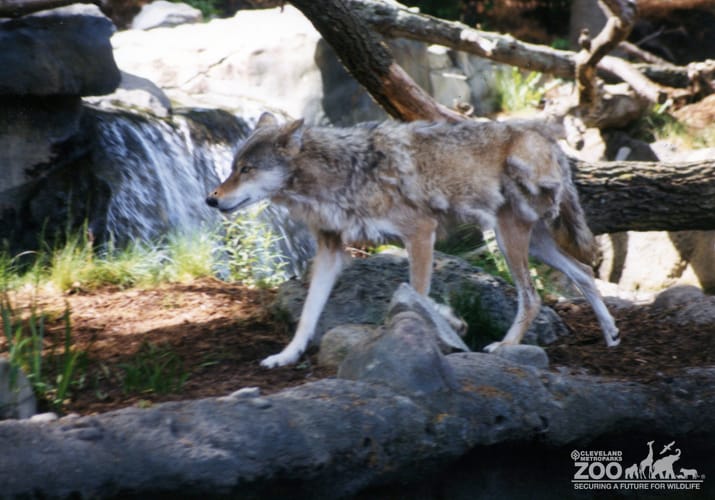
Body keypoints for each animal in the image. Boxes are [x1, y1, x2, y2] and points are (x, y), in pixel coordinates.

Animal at [206, 112, 620, 368]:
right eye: (233, 168)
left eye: (247, 169)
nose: (211, 200)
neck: (341, 173)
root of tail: (549, 142)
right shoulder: (330, 251)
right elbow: (308, 315)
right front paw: (286, 356)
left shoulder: (420, 231)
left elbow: (414, 294)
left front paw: (442, 326)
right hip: (530, 242)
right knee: (583, 272)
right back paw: (611, 334)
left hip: (507, 238)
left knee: (533, 297)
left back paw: (506, 345)